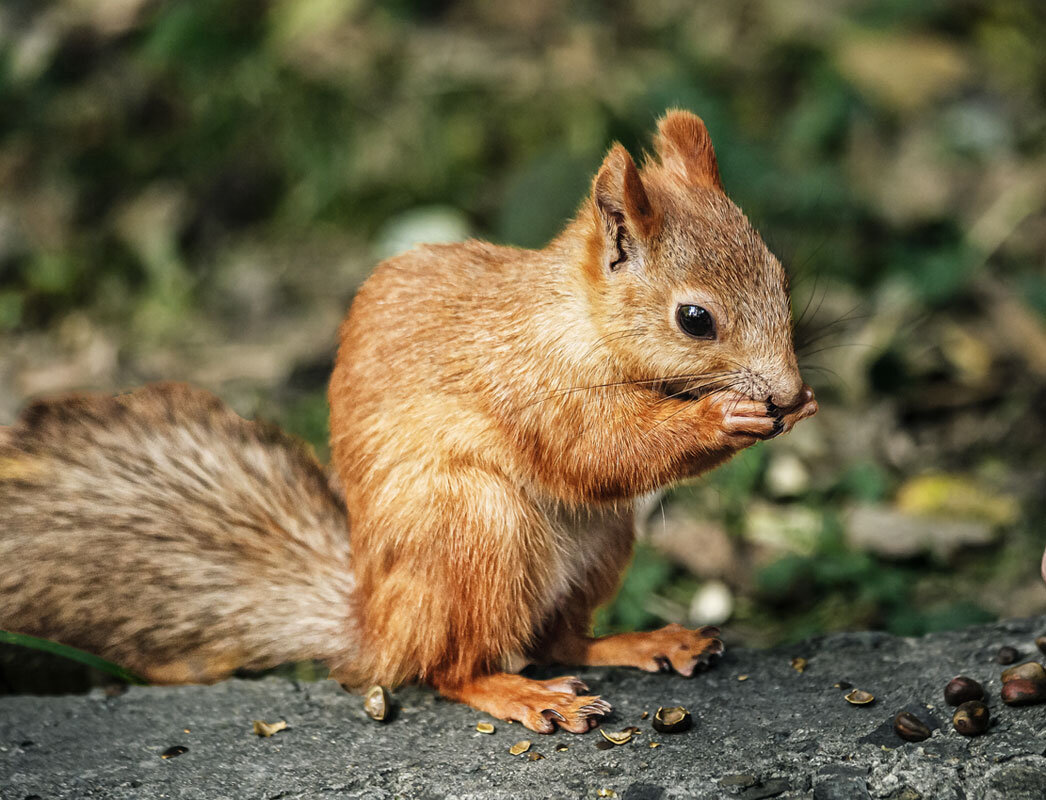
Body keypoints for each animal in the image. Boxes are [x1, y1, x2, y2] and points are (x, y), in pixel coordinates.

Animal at [0, 110, 817, 733]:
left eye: (781, 276)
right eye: (694, 319)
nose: (786, 391)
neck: (575, 321)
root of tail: (375, 628)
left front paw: (798, 405)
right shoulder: (528, 386)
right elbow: (598, 451)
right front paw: (724, 414)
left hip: (598, 541)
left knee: (559, 638)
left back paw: (645, 642)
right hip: (474, 525)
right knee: (451, 668)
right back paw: (520, 695)